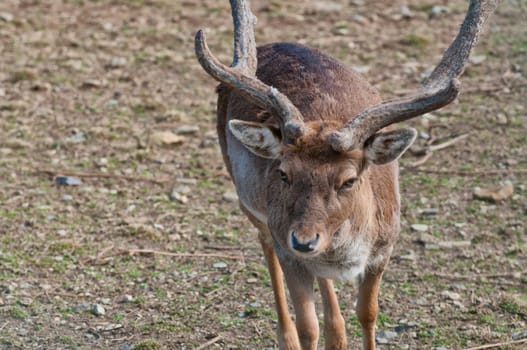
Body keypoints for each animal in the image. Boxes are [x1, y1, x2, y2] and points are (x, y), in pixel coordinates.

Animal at [195, 1, 500, 348]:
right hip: (251, 205)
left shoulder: (384, 248)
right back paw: (288, 337)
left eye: (349, 180)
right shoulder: (289, 252)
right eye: (283, 173)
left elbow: (368, 313)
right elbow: (308, 325)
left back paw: (336, 334)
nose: (303, 239)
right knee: (266, 244)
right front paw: (303, 333)